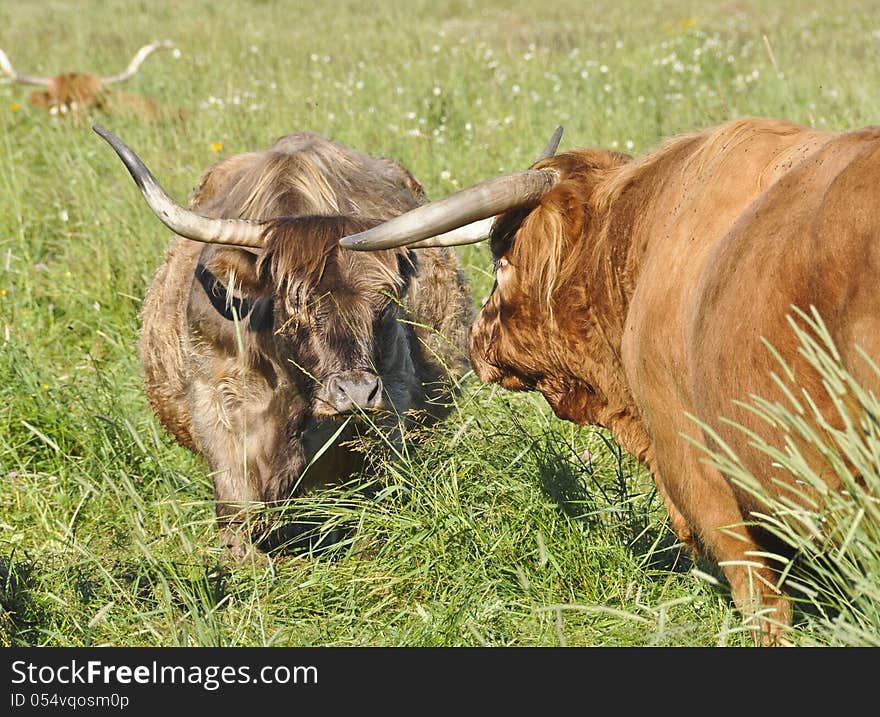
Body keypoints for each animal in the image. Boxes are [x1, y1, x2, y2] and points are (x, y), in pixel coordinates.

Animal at [94, 126, 474, 556]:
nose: (355, 393)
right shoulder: (218, 404)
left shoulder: (391, 402)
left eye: (384, 305)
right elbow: (237, 509)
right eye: (296, 307)